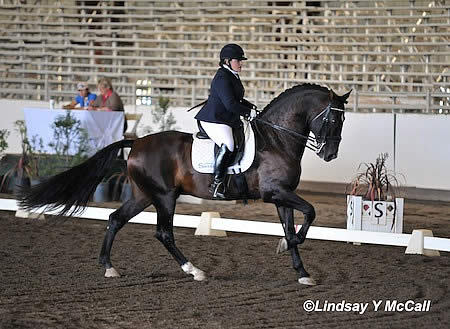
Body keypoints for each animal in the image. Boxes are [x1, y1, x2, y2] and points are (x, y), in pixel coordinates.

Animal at [18, 84, 352, 284]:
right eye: (333, 120)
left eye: (343, 121)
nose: (330, 154)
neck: (277, 139)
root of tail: (136, 142)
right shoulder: (275, 193)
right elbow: (310, 214)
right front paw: (286, 249)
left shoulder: (283, 195)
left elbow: (293, 227)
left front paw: (301, 270)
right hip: (164, 196)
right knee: (163, 232)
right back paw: (194, 270)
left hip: (143, 196)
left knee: (115, 219)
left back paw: (109, 267)